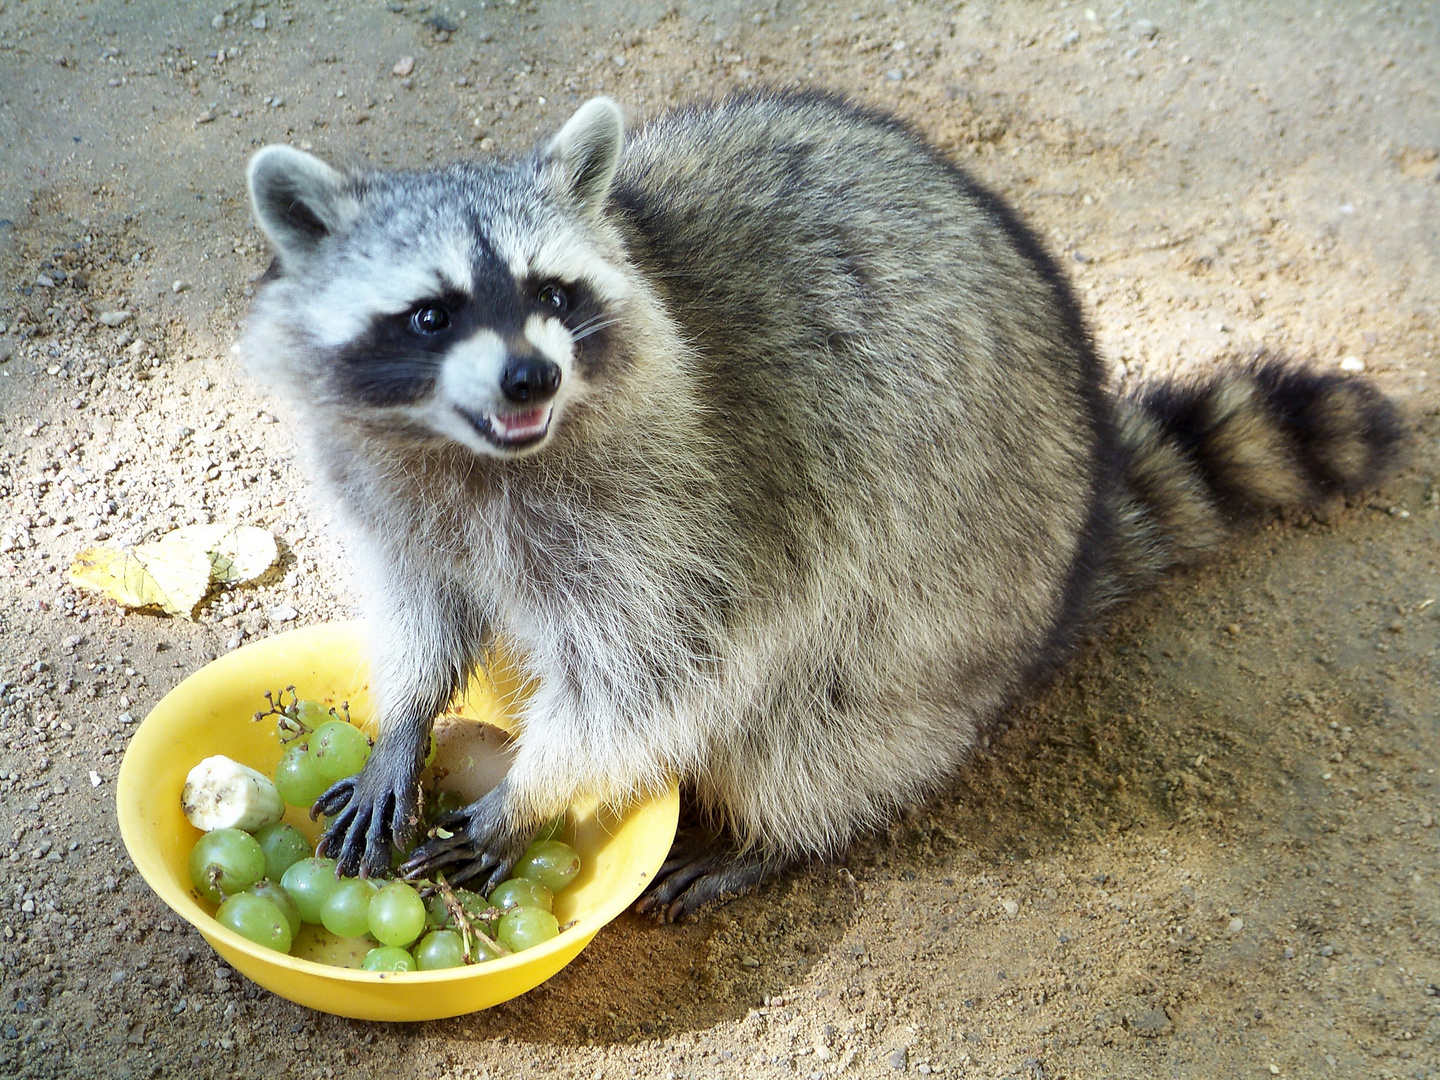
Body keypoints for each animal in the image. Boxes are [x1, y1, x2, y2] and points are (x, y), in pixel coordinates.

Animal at [241, 92, 1399, 921]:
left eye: (553, 294)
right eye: (430, 315)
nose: (533, 376)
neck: (474, 453)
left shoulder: (682, 508)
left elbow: (653, 673)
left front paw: (532, 791)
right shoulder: (391, 491)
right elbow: (424, 604)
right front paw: (404, 719)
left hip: (952, 606)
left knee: (822, 718)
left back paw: (775, 834)